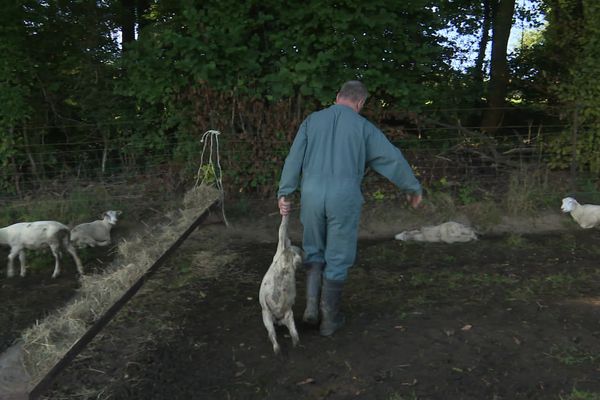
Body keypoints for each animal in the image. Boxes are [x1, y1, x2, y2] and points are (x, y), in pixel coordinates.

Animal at [258, 214, 304, 354]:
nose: (303, 251)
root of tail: (278, 318)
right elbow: (283, 229)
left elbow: (283, 229)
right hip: (271, 315)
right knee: (277, 333)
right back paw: (283, 348)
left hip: (278, 315)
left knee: (279, 333)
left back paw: (285, 347)